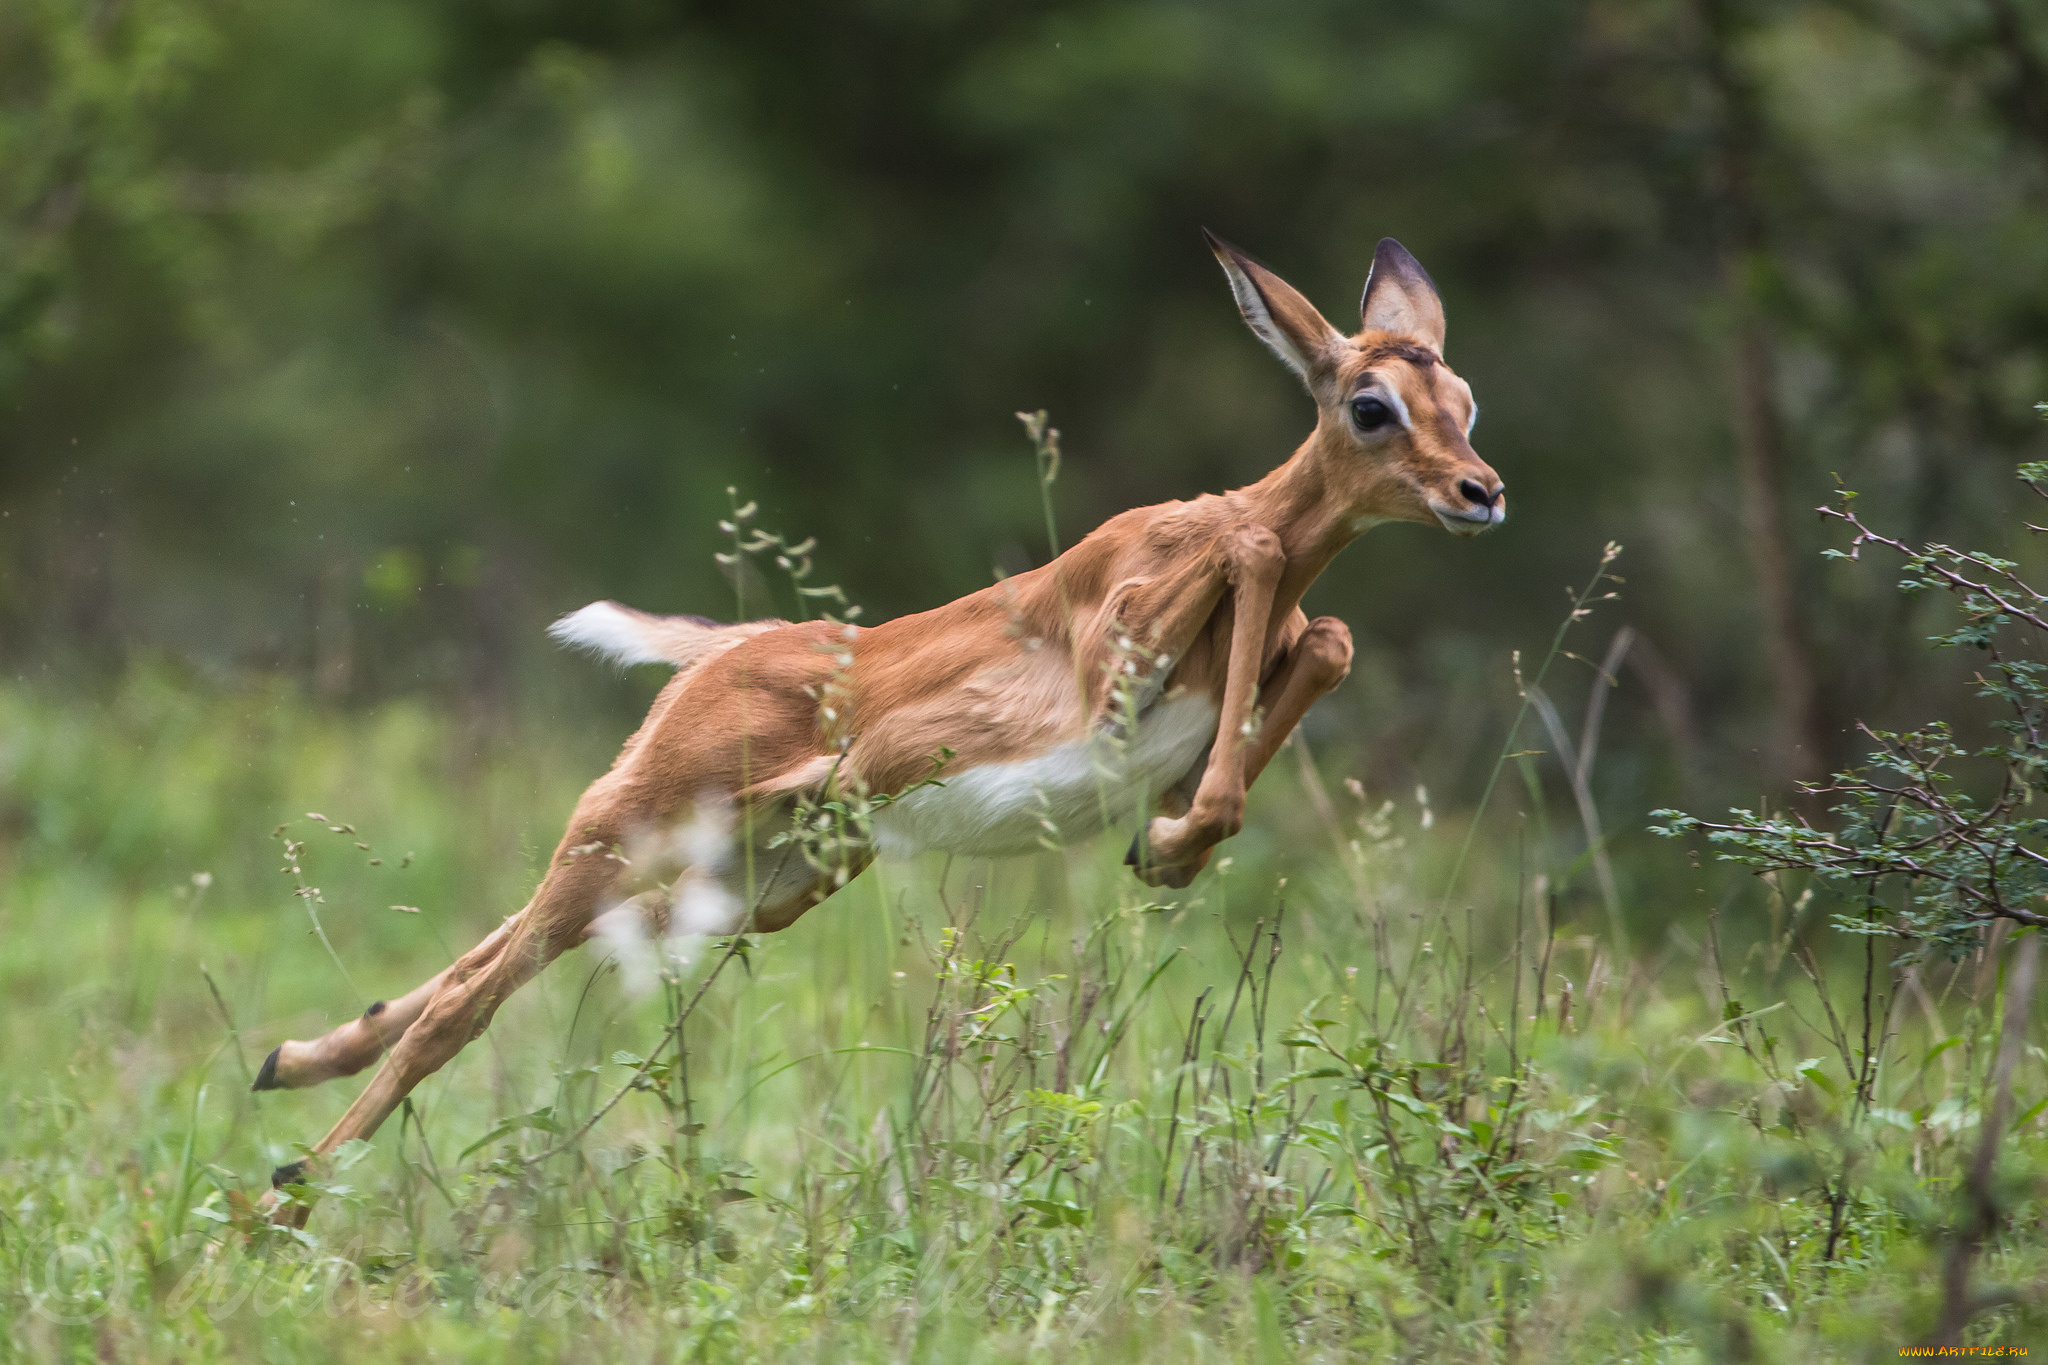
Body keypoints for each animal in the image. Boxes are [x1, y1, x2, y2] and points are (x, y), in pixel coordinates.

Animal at [256, 232, 1507, 1227]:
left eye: (1464, 401)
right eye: (1370, 404)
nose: (1480, 492)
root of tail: (723, 651)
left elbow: (1322, 647)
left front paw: (1168, 849)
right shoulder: (1116, 653)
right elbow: (1249, 551)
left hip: (752, 883)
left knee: (493, 955)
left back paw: (285, 1070)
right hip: (634, 832)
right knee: (464, 1002)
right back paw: (281, 1203)